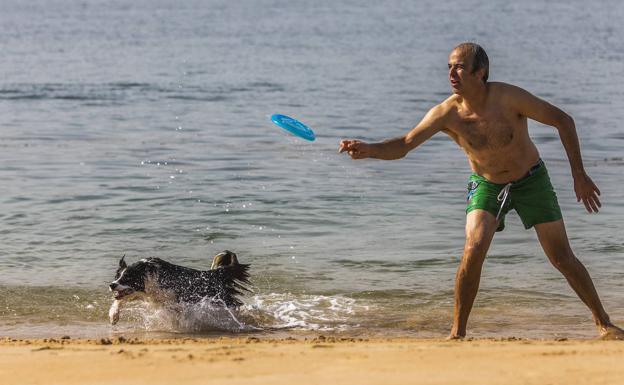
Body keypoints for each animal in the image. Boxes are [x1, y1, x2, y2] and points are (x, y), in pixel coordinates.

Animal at [108, 250, 250, 322]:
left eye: (127, 278)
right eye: (117, 277)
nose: (112, 285)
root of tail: (216, 273)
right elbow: (119, 300)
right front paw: (114, 315)